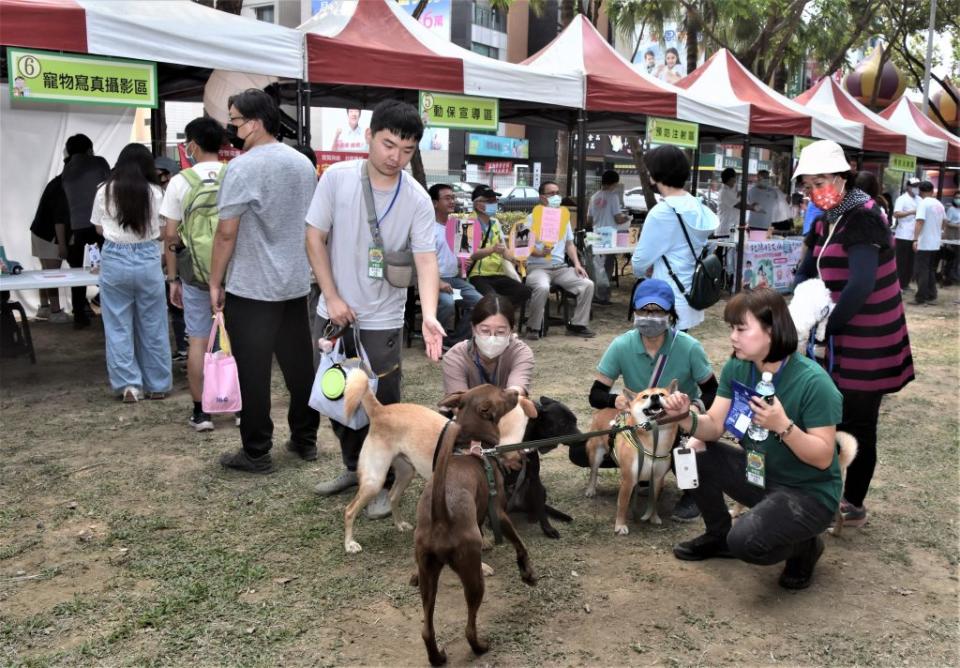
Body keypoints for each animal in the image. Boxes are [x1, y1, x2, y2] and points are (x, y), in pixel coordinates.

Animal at [338, 370, 536, 552]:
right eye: (501, 392)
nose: (518, 392)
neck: (474, 443)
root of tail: (380, 410)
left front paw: (485, 540)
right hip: (374, 481)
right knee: (349, 510)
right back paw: (349, 544)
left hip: (406, 472)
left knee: (393, 496)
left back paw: (400, 524)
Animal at [412, 384, 536, 664]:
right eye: (502, 393)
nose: (517, 391)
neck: (471, 445)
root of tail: (440, 515)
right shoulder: (499, 512)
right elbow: (520, 544)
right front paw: (528, 574)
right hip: (472, 578)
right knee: (469, 627)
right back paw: (480, 647)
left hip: (428, 578)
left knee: (426, 629)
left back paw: (437, 658)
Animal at [498, 396, 580, 536]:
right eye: (563, 423)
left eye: (575, 421)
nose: (582, 438)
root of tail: (518, 505)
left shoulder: (534, 478)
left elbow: (541, 510)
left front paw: (547, 529)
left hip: (541, 489)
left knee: (537, 506)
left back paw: (533, 516)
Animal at [580, 380, 680, 532]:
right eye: (645, 396)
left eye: (662, 394)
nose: (655, 397)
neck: (654, 441)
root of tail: (604, 409)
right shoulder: (628, 479)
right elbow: (623, 505)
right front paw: (620, 525)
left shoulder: (657, 478)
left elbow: (654, 501)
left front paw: (653, 517)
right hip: (596, 454)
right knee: (593, 472)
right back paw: (590, 490)